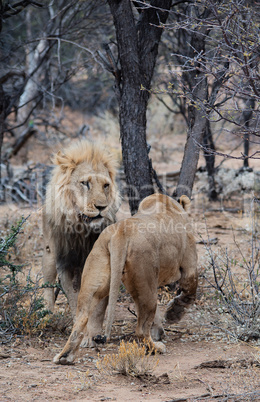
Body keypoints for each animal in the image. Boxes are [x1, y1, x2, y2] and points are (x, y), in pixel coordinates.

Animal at [42, 141, 120, 340]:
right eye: (85, 183)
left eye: (106, 185)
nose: (101, 207)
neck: (81, 231)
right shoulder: (65, 264)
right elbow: (73, 299)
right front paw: (79, 330)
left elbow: (99, 306)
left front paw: (93, 333)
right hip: (49, 254)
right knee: (47, 284)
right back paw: (46, 315)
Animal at [53, 192, 198, 364]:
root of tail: (121, 232)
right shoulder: (189, 266)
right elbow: (190, 291)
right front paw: (174, 314)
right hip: (146, 279)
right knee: (141, 329)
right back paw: (157, 348)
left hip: (96, 275)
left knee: (81, 318)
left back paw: (65, 356)